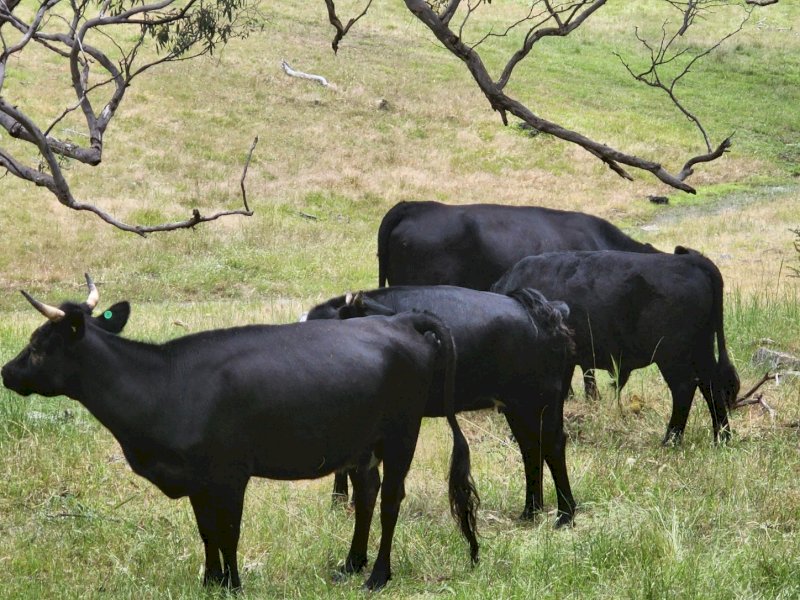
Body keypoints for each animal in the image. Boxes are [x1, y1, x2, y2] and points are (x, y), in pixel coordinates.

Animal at [1, 275, 479, 592]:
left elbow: (229, 529)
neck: (163, 384)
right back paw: (351, 564)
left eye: (39, 345)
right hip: (361, 444)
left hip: (401, 435)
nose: (6, 371)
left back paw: (378, 575)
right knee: (367, 494)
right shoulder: (196, 477)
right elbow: (207, 531)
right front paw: (211, 581)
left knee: (391, 500)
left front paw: (232, 584)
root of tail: (400, 321)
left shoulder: (229, 473)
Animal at [306, 285, 577, 526]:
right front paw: (341, 503)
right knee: (531, 448)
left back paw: (565, 515)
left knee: (553, 445)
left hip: (540, 401)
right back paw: (531, 512)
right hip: (518, 407)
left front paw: (342, 503)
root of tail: (546, 311)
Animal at [490, 247, 741, 444]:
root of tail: (690, 261)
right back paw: (722, 437)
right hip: (701, 348)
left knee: (684, 387)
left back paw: (671, 439)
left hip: (672, 354)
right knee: (711, 385)